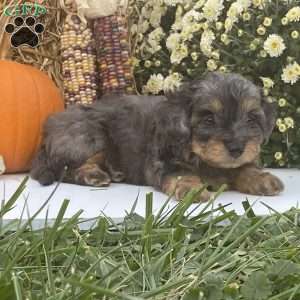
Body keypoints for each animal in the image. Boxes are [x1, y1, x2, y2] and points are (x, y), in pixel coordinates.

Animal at [30, 72, 284, 202]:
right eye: (209, 120)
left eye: (251, 119)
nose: (236, 148)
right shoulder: (163, 162)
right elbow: (182, 174)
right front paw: (194, 190)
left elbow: (244, 167)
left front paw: (261, 178)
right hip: (91, 136)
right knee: (67, 169)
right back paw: (94, 175)